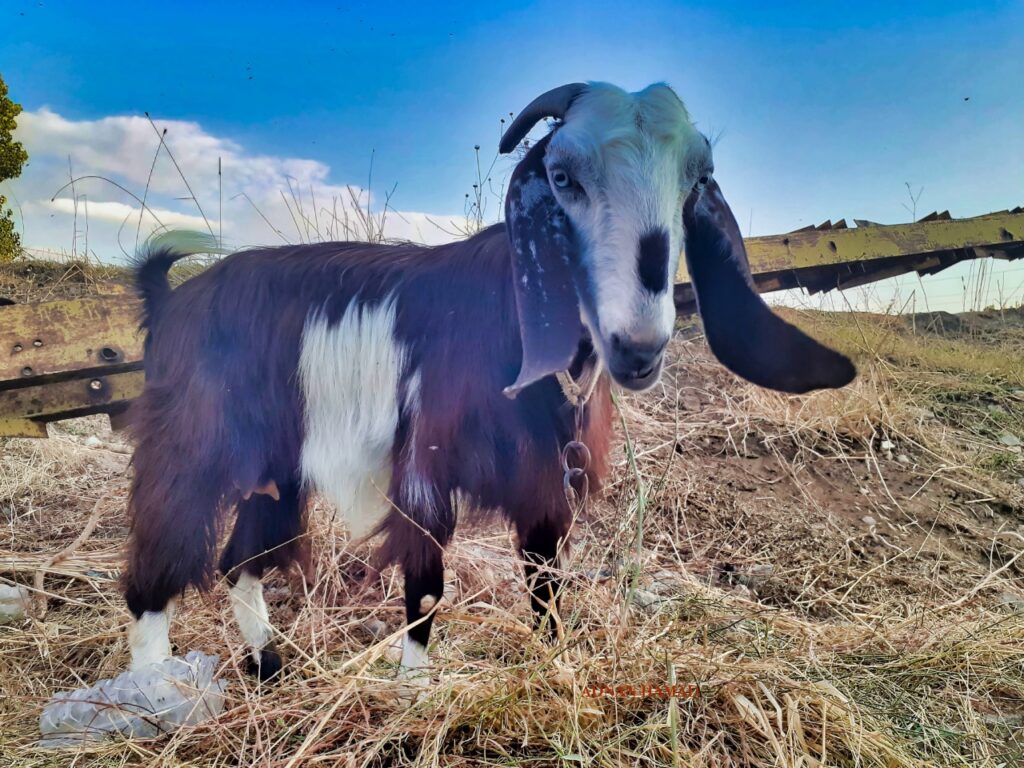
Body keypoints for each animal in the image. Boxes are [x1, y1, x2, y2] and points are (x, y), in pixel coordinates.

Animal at [121, 82, 856, 684]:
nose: (638, 345)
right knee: (157, 564)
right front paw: (415, 690)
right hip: (191, 446)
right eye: (561, 175)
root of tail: (170, 301)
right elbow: (425, 585)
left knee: (238, 560)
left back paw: (266, 664)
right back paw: (153, 689)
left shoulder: (544, 480)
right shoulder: (425, 468)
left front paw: (554, 669)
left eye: (695, 179)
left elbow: (545, 581)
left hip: (274, 466)